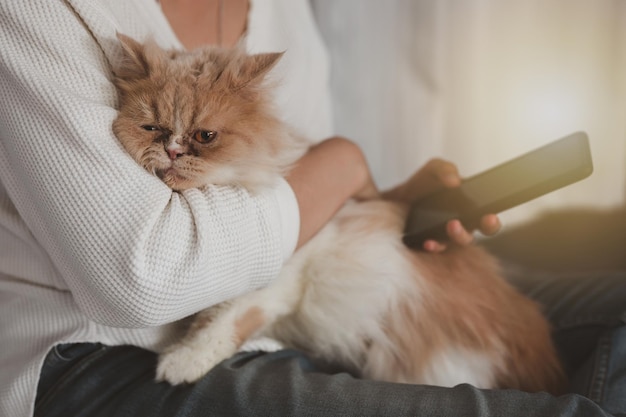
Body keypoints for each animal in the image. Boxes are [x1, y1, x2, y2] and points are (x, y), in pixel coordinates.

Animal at [112, 33, 564, 394]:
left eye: (205, 136)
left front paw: (180, 363)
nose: (172, 151)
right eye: (152, 128)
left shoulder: (283, 275)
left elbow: (224, 321)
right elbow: (210, 316)